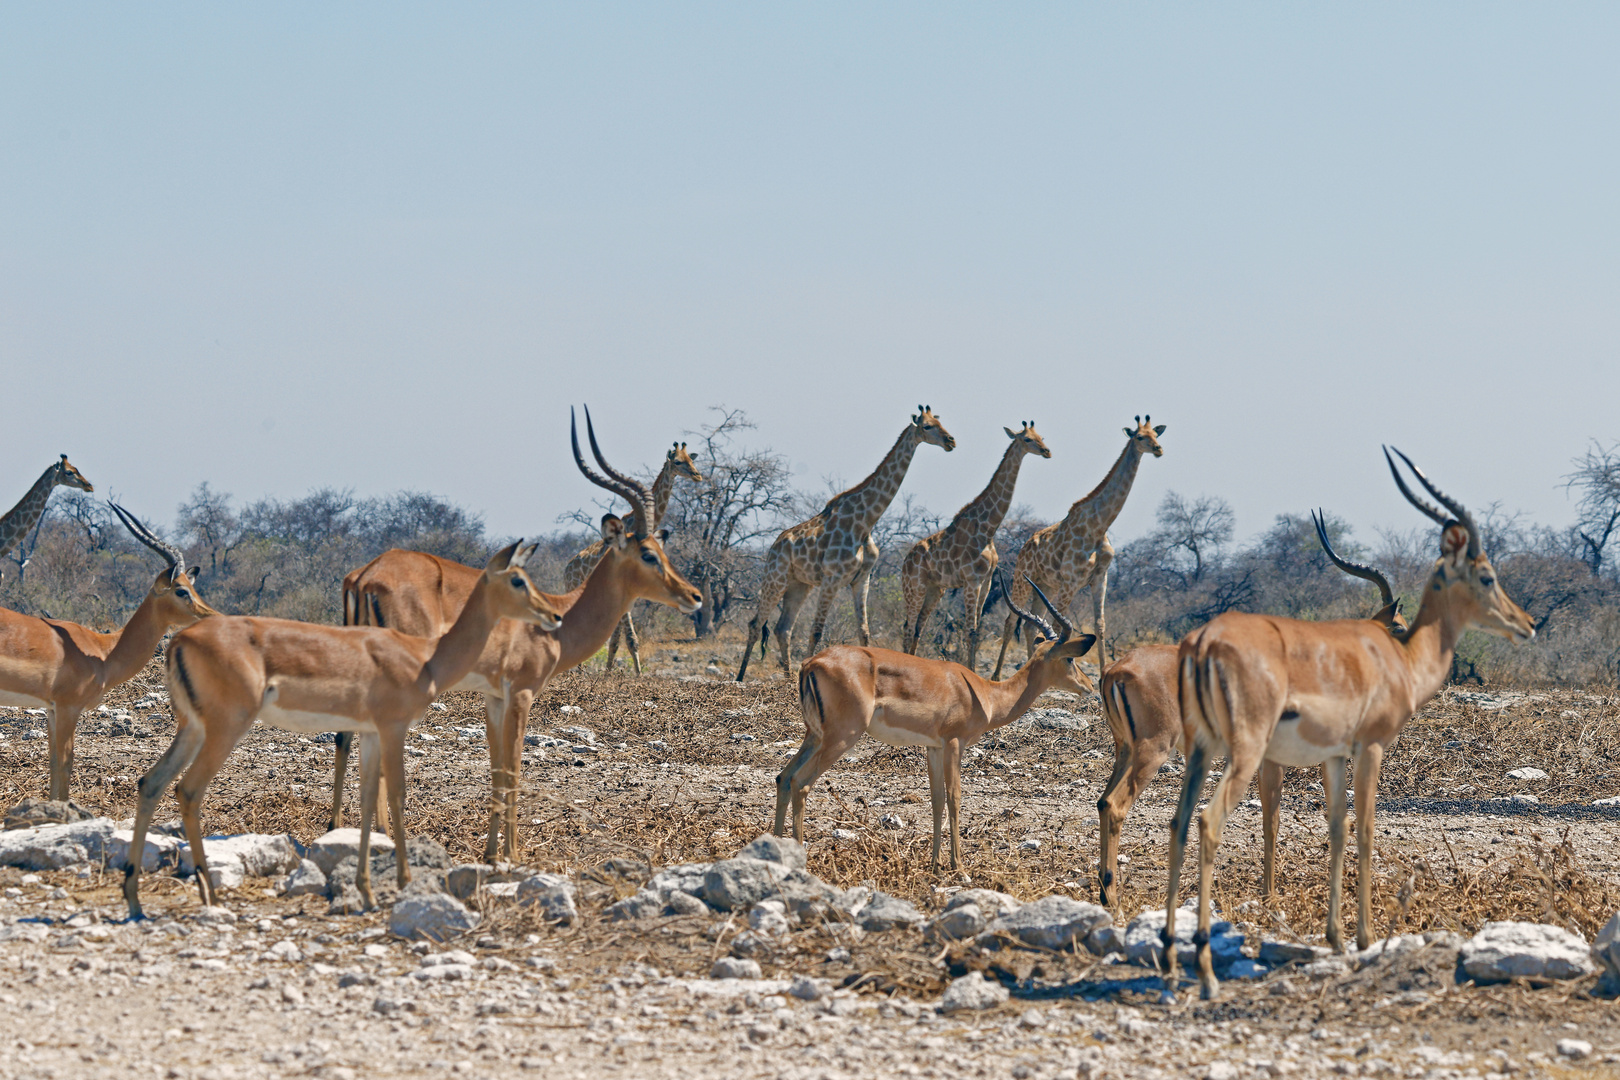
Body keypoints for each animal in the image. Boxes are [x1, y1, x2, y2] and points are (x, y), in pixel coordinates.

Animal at [560, 443, 706, 670]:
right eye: (678, 462)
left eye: (692, 460)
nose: (697, 476)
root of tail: (567, 569)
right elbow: (628, 637)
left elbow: (618, 638)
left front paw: (612, 672)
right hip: (575, 590)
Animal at [738, 409, 959, 680]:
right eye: (927, 426)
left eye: (940, 422)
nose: (950, 441)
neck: (865, 522)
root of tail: (774, 546)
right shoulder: (831, 579)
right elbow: (817, 630)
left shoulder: (861, 579)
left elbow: (864, 630)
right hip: (775, 578)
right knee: (756, 623)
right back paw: (740, 676)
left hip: (799, 585)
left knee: (783, 628)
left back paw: (788, 677)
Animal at [900, 420, 1049, 667]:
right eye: (1028, 439)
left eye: (1041, 437)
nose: (1047, 451)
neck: (988, 528)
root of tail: (904, 563)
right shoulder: (971, 581)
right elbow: (970, 630)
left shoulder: (986, 581)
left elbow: (977, 631)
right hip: (914, 587)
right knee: (908, 627)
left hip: (934, 590)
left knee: (918, 627)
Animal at [984, 414, 1166, 676]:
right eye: (1140, 437)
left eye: (1155, 435)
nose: (1159, 449)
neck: (1098, 526)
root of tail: (1024, 547)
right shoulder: (1070, 582)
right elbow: (1059, 628)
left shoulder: (1100, 578)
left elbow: (1100, 625)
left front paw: (1102, 674)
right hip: (1022, 580)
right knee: (1011, 622)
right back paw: (998, 674)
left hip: (1045, 586)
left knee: (1030, 625)